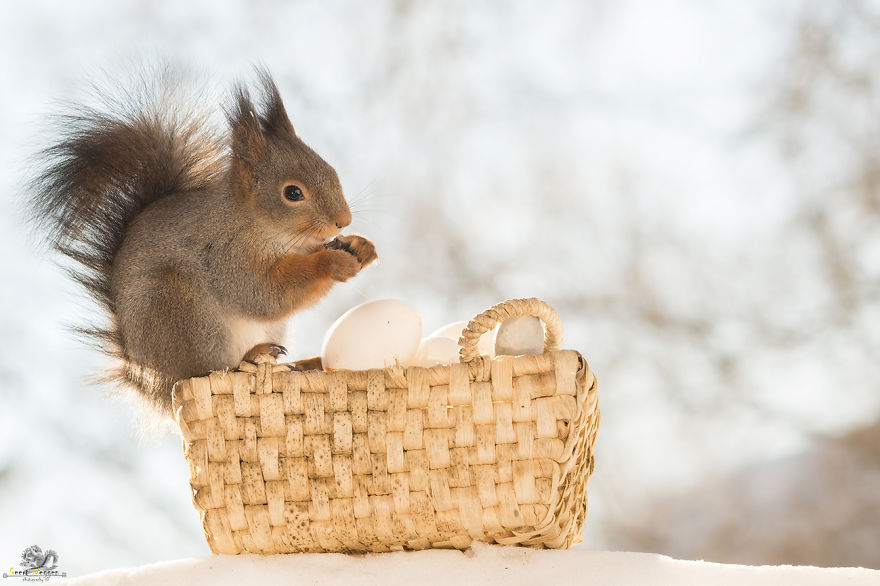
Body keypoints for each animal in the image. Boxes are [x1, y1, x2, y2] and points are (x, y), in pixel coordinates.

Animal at [29, 68, 377, 416]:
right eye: (292, 193)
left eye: (331, 171)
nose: (343, 220)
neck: (263, 228)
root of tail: (149, 381)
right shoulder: (227, 254)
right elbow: (264, 294)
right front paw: (332, 263)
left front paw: (361, 246)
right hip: (179, 306)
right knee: (211, 369)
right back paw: (249, 359)